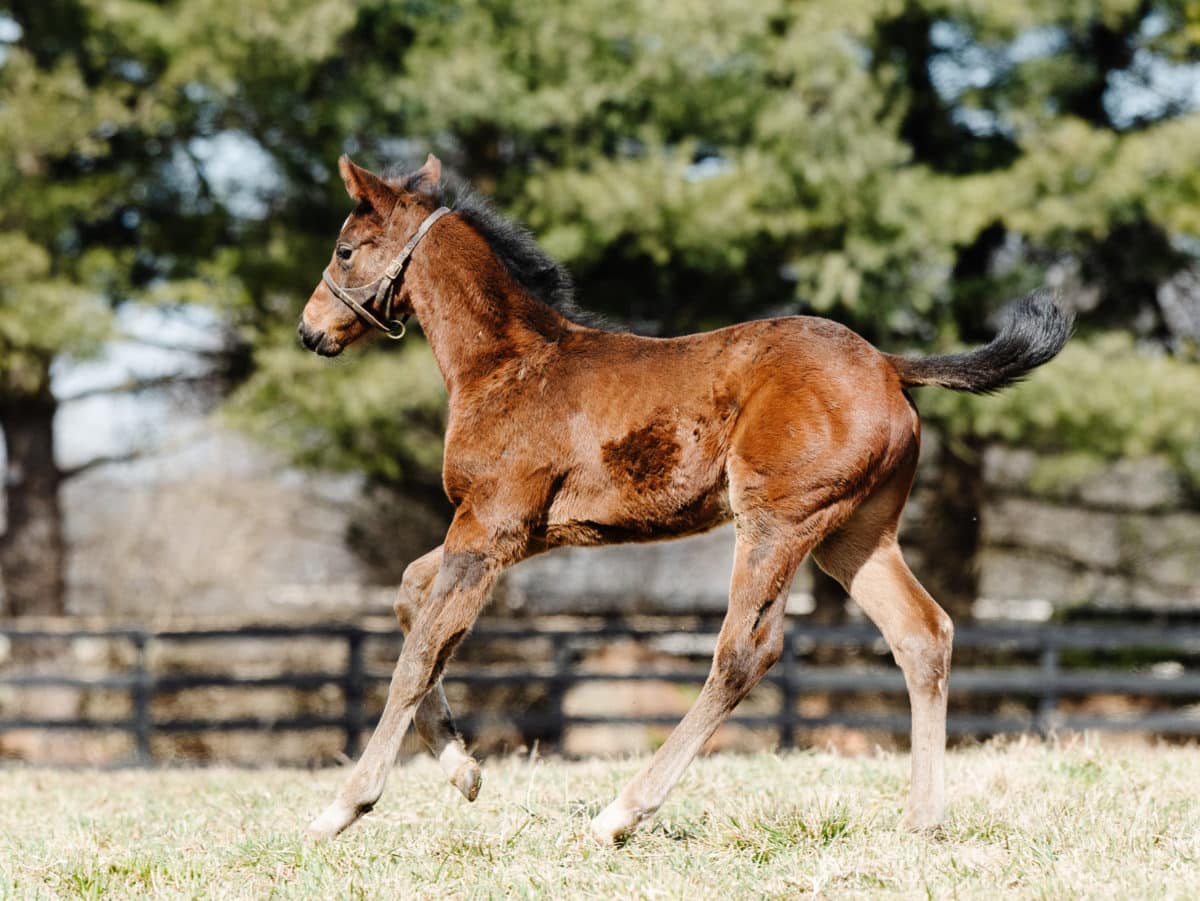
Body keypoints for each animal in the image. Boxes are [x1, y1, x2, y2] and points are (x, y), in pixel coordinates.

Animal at [297, 153, 1070, 844]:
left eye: (344, 249)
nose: (310, 330)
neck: (507, 366)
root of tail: (886, 363)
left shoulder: (490, 525)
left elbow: (419, 651)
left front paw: (344, 807)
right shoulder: (518, 533)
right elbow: (409, 593)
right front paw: (462, 769)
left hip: (779, 522)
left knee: (744, 652)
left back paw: (620, 813)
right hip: (854, 535)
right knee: (922, 634)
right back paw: (922, 820)